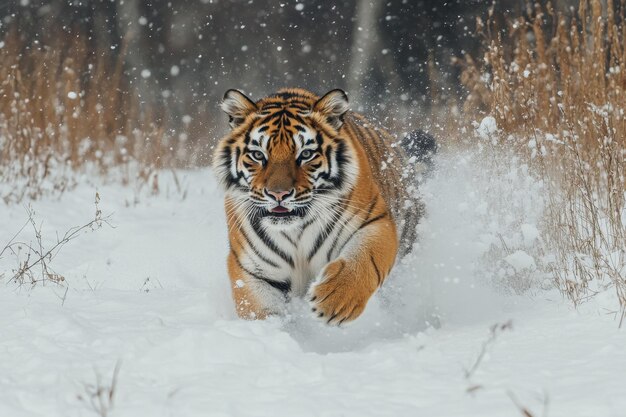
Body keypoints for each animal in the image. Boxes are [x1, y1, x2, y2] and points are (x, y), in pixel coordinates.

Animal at [211, 86, 434, 324]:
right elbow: (260, 310)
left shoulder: (375, 222)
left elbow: (363, 260)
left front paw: (335, 301)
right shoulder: (252, 270)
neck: (295, 230)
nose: (278, 194)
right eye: (257, 155)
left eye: (306, 154)